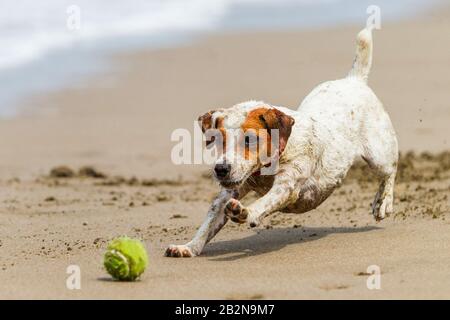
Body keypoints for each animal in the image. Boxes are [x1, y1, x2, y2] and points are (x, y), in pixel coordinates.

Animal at [165, 27, 398, 258]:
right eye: (219, 139)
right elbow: (209, 221)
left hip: (378, 154)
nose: (221, 169)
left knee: (390, 171)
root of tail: (354, 80)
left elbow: (263, 202)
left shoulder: (287, 186)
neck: (265, 170)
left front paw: (246, 212)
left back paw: (383, 203)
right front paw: (188, 247)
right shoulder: (229, 192)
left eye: (250, 139)